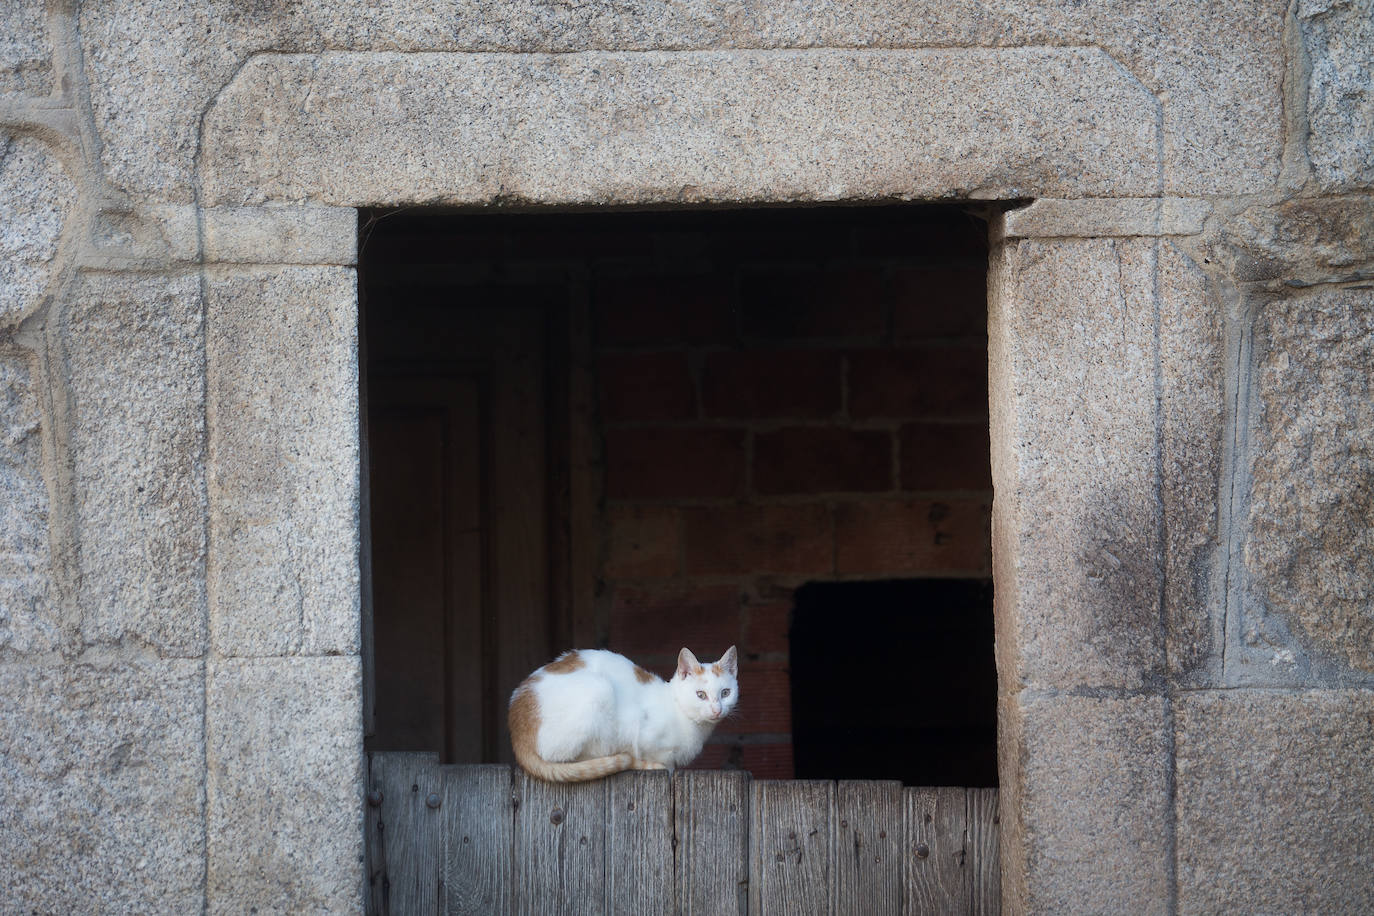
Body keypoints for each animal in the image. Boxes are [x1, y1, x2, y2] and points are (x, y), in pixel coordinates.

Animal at [508, 645, 741, 780]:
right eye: (700, 695)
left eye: (725, 693)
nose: (717, 710)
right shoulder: (640, 732)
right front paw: (660, 766)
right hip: (599, 690)